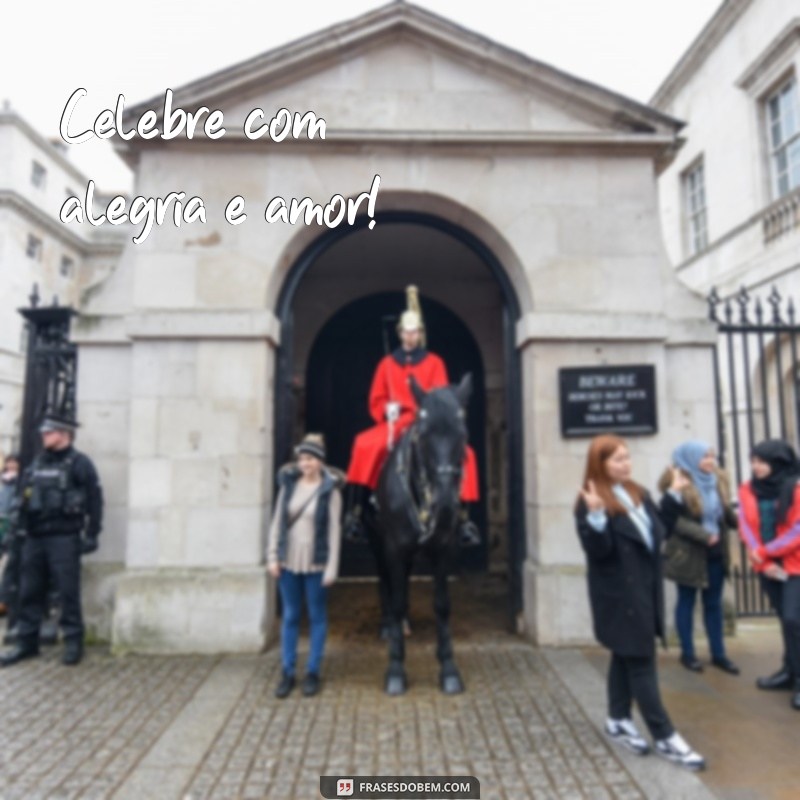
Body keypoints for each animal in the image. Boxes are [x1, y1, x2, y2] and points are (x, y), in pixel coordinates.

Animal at [368, 372, 476, 692]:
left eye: (463, 434)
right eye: (424, 434)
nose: (445, 504)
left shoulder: (444, 547)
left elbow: (442, 605)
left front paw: (449, 668)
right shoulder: (393, 546)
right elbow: (396, 600)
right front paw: (395, 668)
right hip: (377, 541)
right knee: (385, 581)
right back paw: (389, 625)